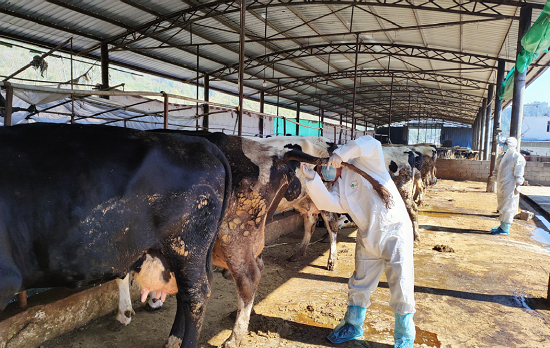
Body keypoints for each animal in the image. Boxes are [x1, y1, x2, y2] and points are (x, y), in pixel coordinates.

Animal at [0, 123, 232, 346]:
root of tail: (200, 143)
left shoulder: (7, 278)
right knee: (185, 293)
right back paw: (173, 337)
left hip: (186, 248)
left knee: (195, 297)